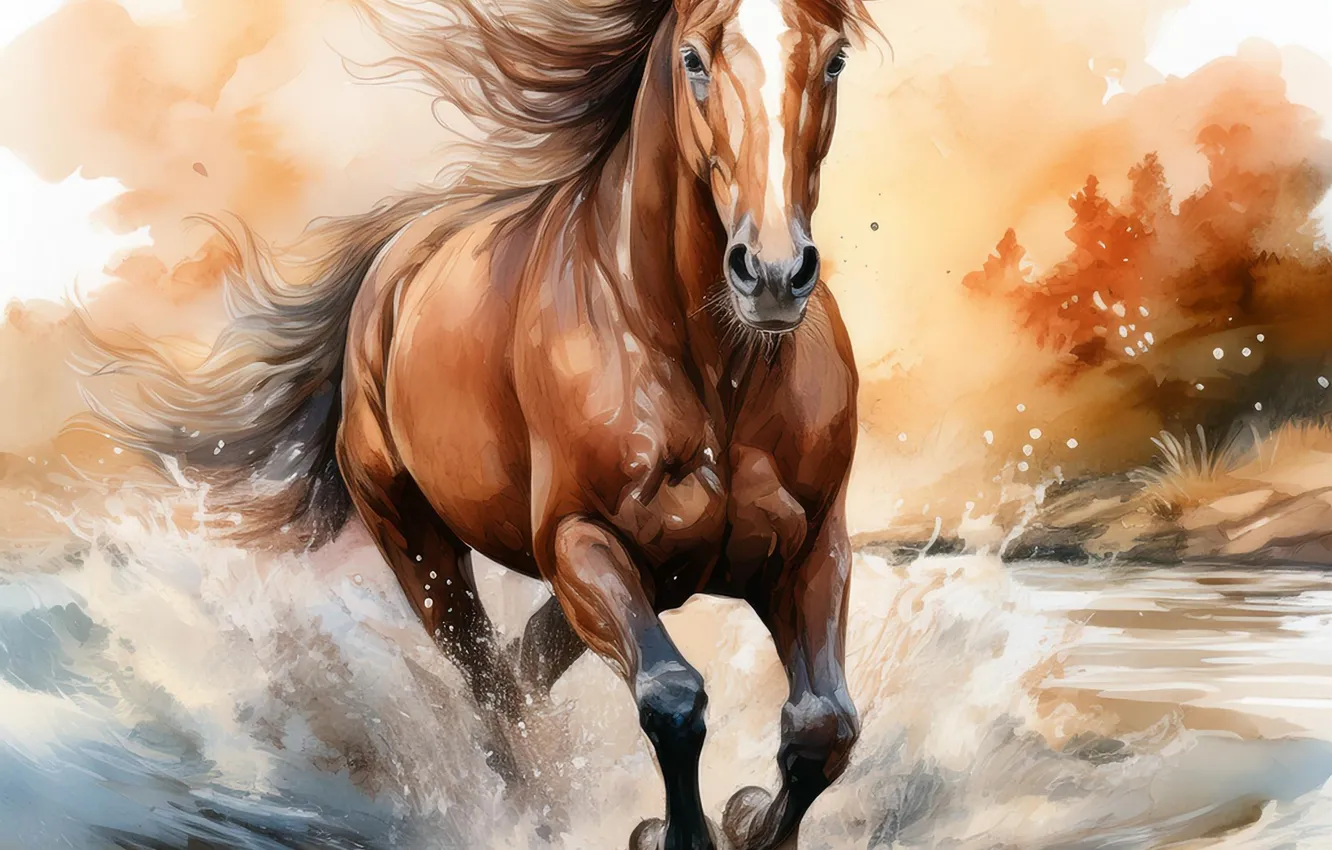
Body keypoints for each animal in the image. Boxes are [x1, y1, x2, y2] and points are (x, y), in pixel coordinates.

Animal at [78, 0, 876, 846]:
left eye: (834, 60)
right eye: (694, 58)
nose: (773, 274)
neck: (710, 367)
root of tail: (394, 263)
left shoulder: (811, 548)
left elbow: (823, 726)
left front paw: (747, 817)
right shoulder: (580, 539)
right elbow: (673, 697)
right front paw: (673, 832)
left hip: (645, 578)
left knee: (524, 672)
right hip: (421, 548)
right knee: (493, 692)